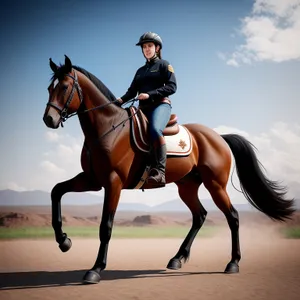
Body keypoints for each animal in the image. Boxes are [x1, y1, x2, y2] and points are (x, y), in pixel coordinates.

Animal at [42, 55, 296, 284]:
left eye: (64, 87)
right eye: (49, 88)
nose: (48, 119)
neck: (109, 128)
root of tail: (218, 137)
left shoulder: (113, 183)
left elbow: (106, 226)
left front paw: (95, 269)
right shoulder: (93, 180)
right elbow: (56, 191)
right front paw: (64, 241)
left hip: (216, 185)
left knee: (232, 216)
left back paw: (233, 263)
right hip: (187, 186)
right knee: (200, 216)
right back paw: (177, 258)